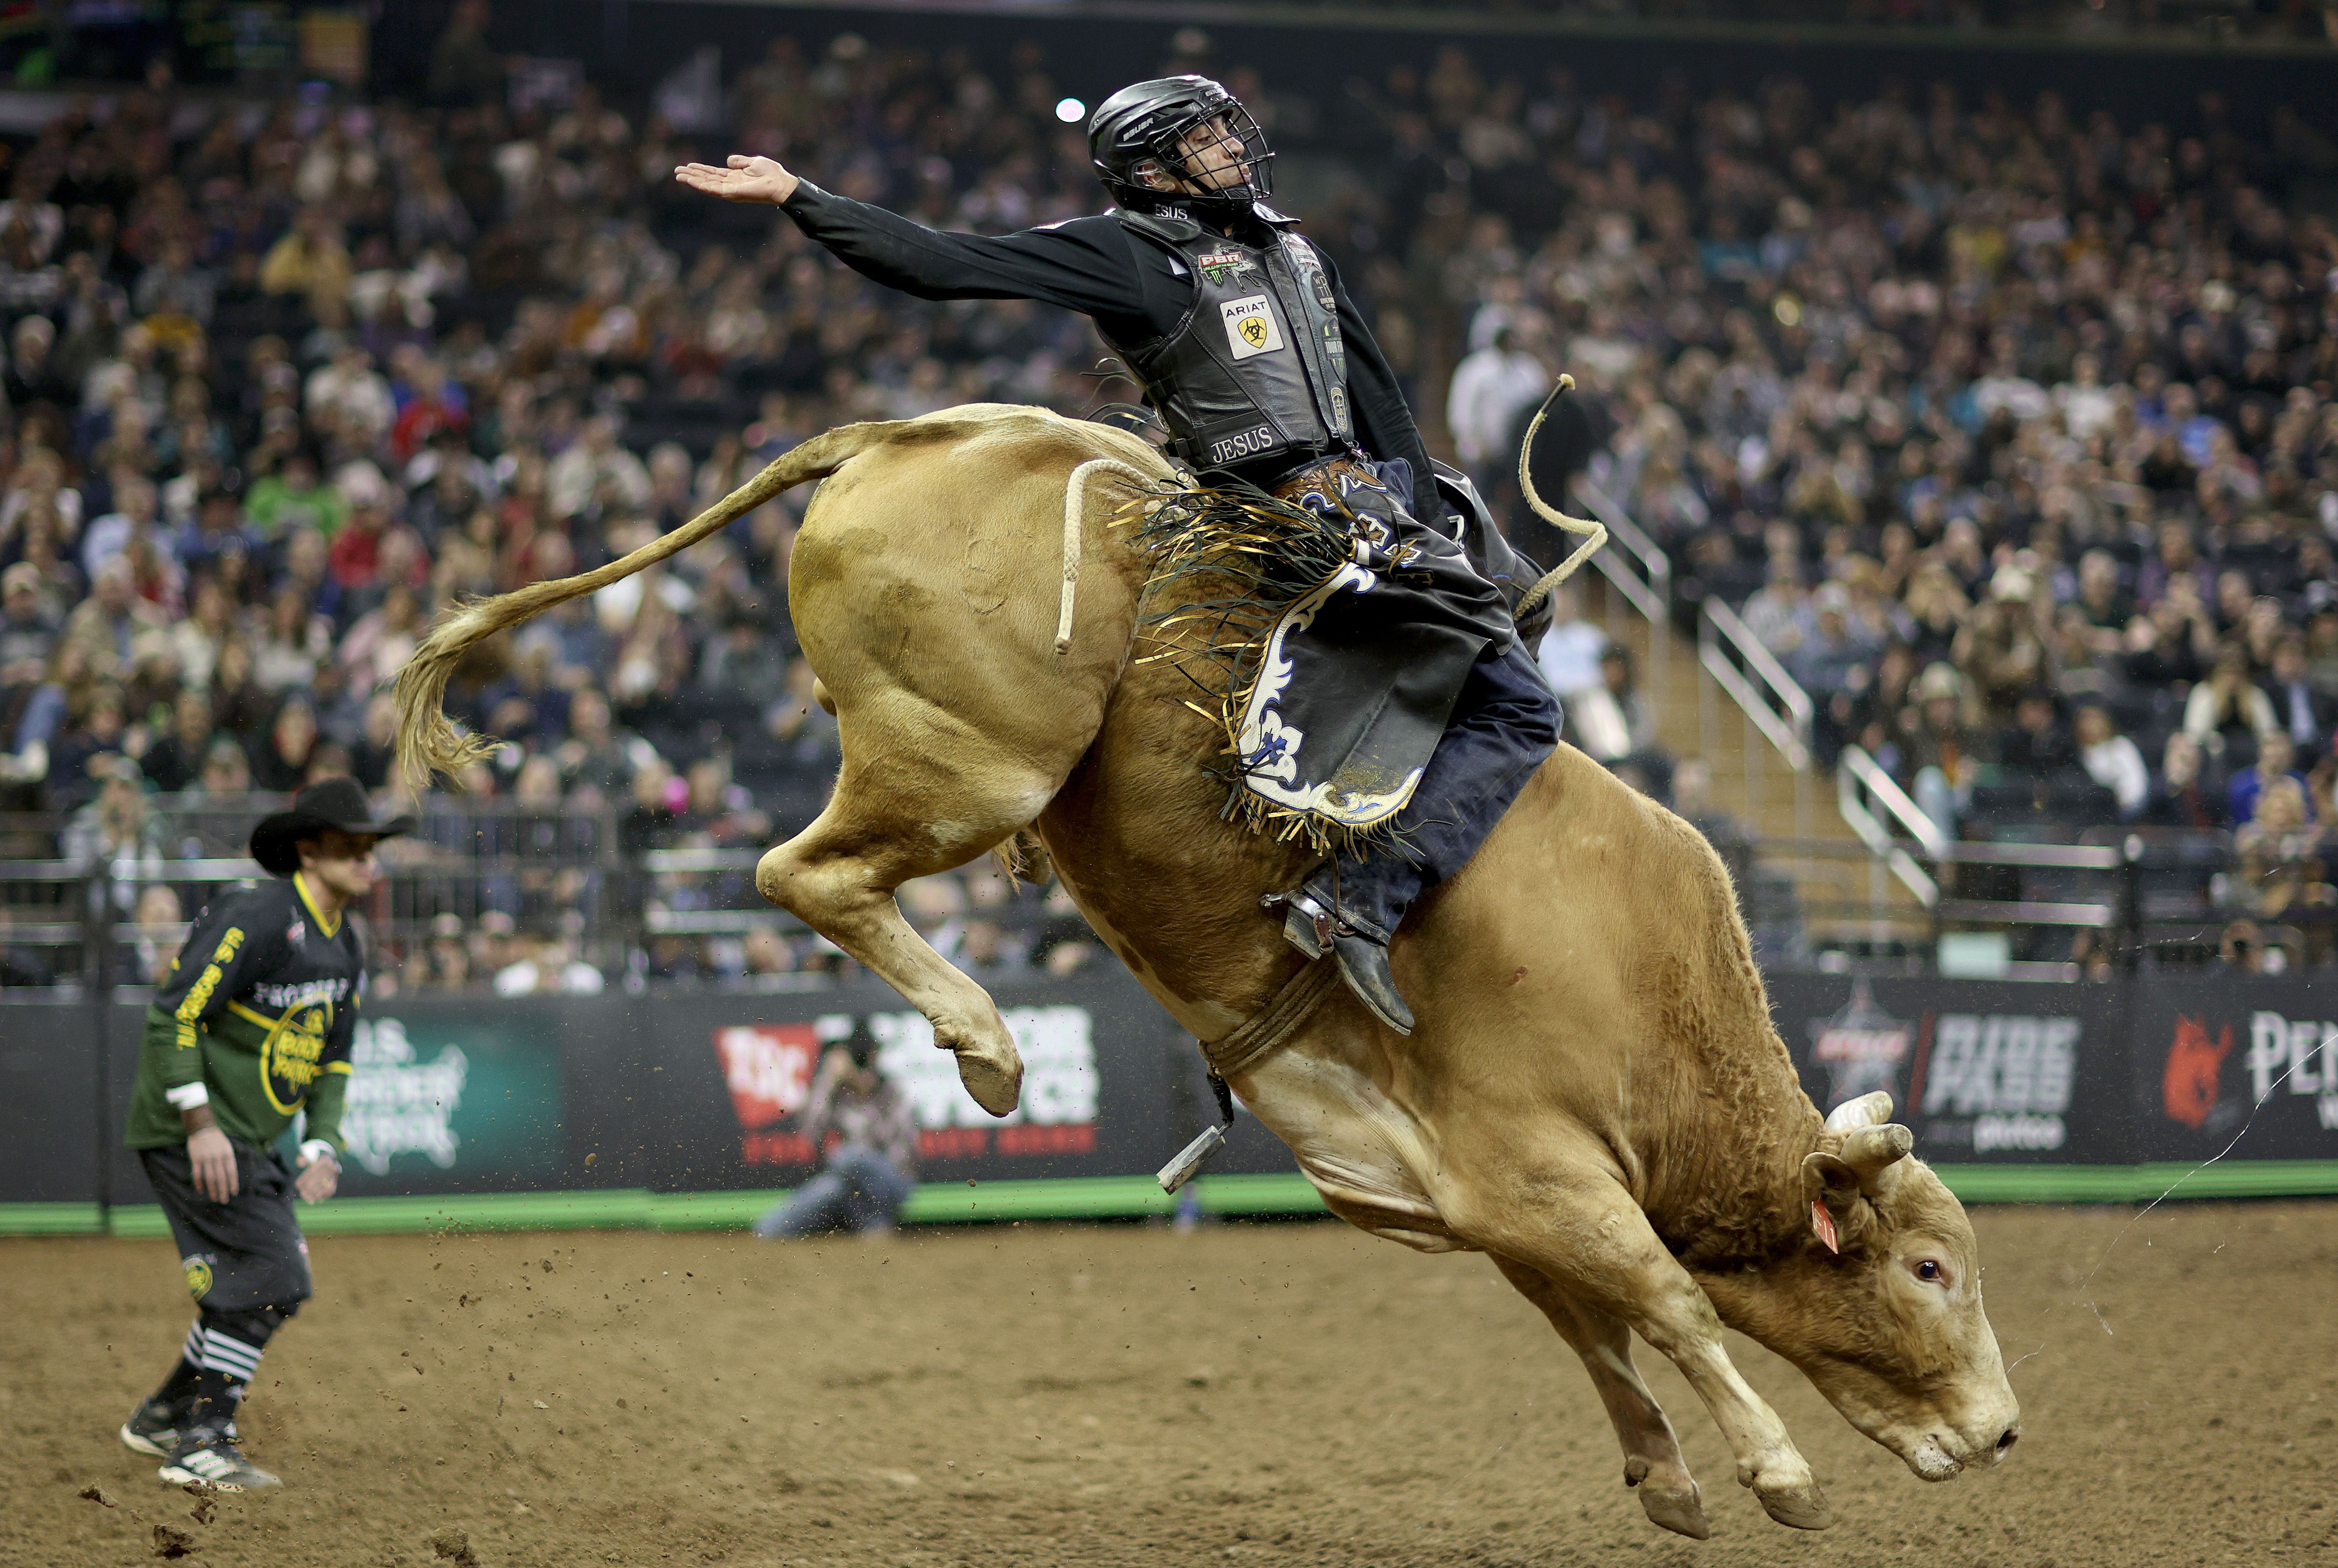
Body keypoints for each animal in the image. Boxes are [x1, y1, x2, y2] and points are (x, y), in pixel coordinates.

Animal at [394, 403, 2020, 1537]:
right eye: (1928, 1266)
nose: (2005, 1431)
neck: (1647, 993)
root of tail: (915, 432)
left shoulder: (1487, 1196)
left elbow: (1593, 1323)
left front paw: (1666, 1480)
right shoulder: (1545, 1165)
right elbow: (1666, 1302)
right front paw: (1778, 1471)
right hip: (969, 758)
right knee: (805, 873)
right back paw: (988, 1046)